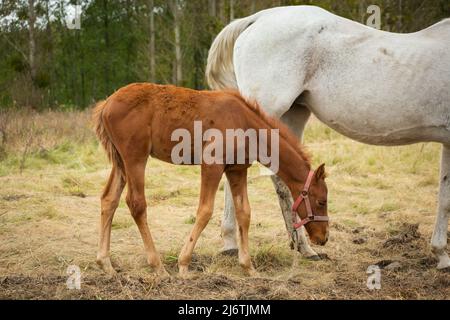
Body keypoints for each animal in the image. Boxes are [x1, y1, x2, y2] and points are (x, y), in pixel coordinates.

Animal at [93, 82, 328, 276]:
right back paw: (158, 267)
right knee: (136, 204)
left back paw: (106, 263)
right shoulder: (212, 166)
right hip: (135, 158)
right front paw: (183, 264)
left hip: (120, 162)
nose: (323, 238)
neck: (244, 122)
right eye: (321, 201)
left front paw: (248, 267)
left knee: (109, 199)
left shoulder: (237, 169)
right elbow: (205, 211)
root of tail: (106, 105)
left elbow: (244, 213)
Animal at [207, 6, 450, 268]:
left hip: (292, 116)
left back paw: (302, 247)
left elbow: (444, 195)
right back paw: (231, 242)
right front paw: (442, 255)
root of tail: (259, 17)